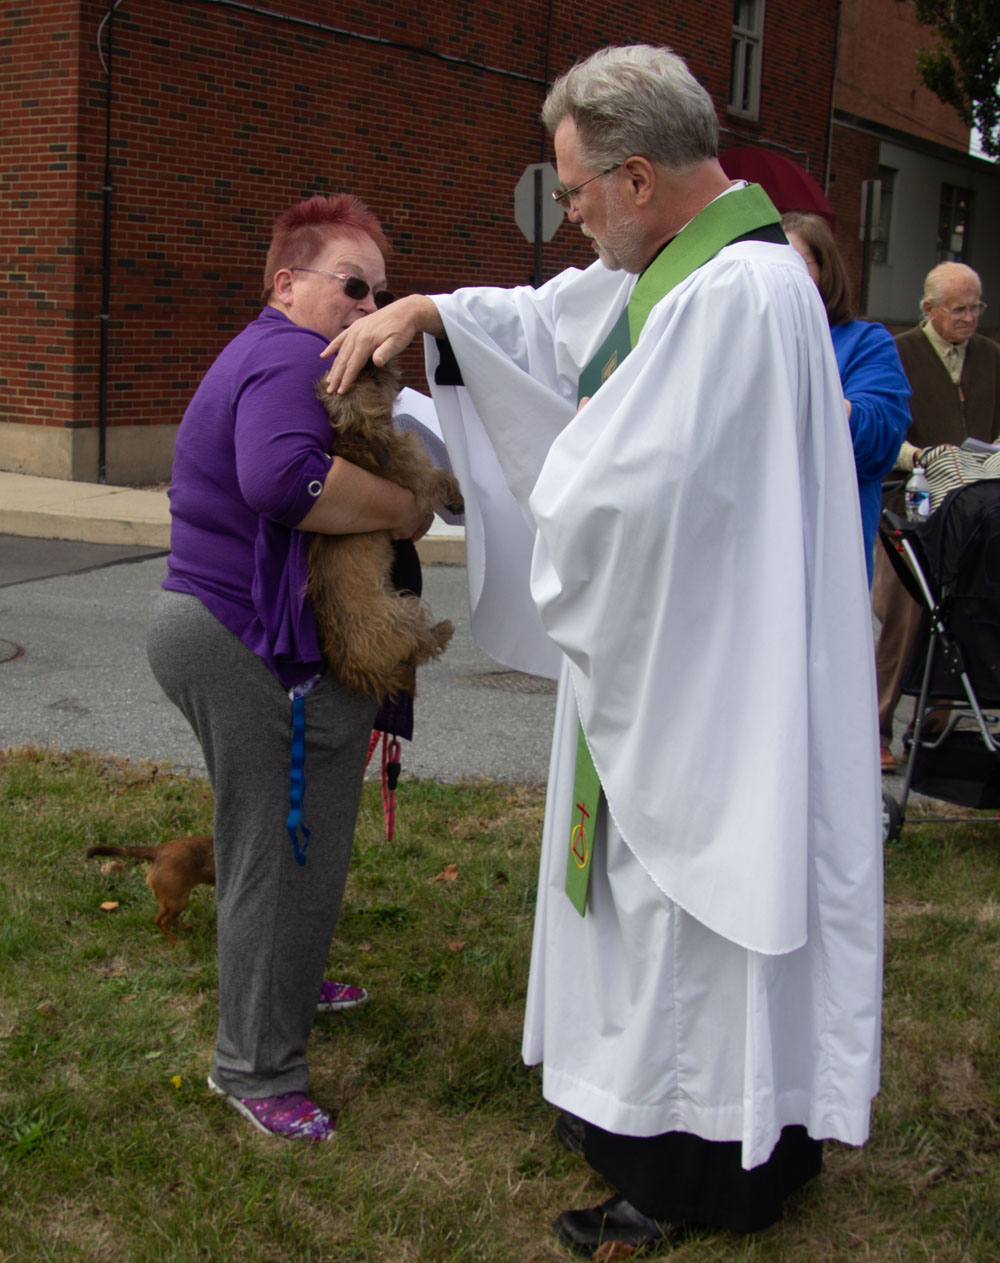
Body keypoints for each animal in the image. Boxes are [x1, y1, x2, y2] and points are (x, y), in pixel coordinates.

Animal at [87, 833, 217, 944]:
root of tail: (157, 850)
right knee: (161, 921)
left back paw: (184, 928)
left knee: (162, 918)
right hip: (178, 901)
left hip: (170, 901)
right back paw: (176, 943)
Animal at [308, 361, 464, 707]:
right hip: (406, 610)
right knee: (423, 647)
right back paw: (443, 630)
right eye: (373, 380)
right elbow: (442, 476)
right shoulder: (420, 480)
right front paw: (458, 499)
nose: (367, 361)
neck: (357, 441)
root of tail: (359, 670)